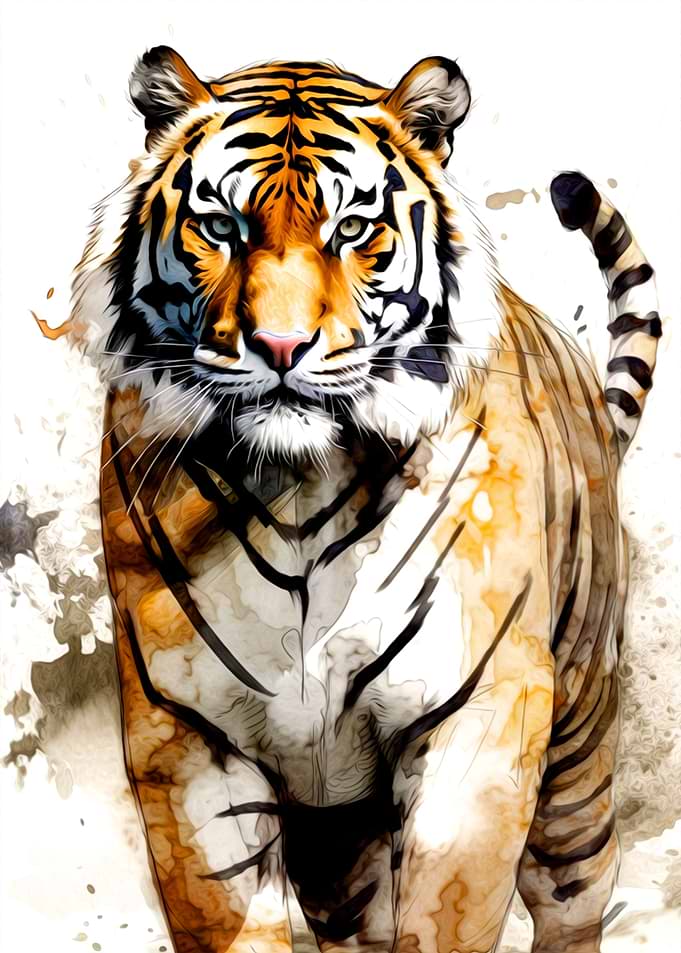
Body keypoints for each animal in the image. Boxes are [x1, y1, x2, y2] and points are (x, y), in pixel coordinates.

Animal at [64, 46, 661, 953]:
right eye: (222, 228)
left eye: (350, 230)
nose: (279, 346)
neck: (298, 487)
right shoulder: (190, 739)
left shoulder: (478, 716)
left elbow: (446, 916)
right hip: (336, 838)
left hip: (577, 746)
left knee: (573, 894)